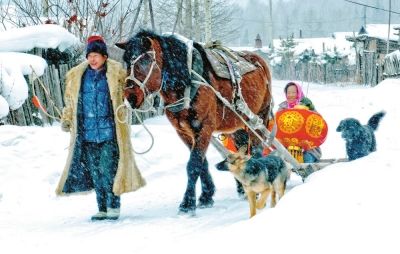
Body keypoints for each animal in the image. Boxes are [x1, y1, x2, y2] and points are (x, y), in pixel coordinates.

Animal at [115, 30, 272, 215]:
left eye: (145, 61)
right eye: (127, 62)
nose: (130, 97)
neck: (186, 83)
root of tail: (259, 60)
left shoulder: (204, 128)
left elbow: (193, 164)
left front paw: (188, 203)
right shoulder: (184, 131)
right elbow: (201, 163)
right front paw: (206, 195)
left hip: (259, 117)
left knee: (256, 149)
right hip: (237, 124)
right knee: (241, 148)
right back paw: (241, 187)